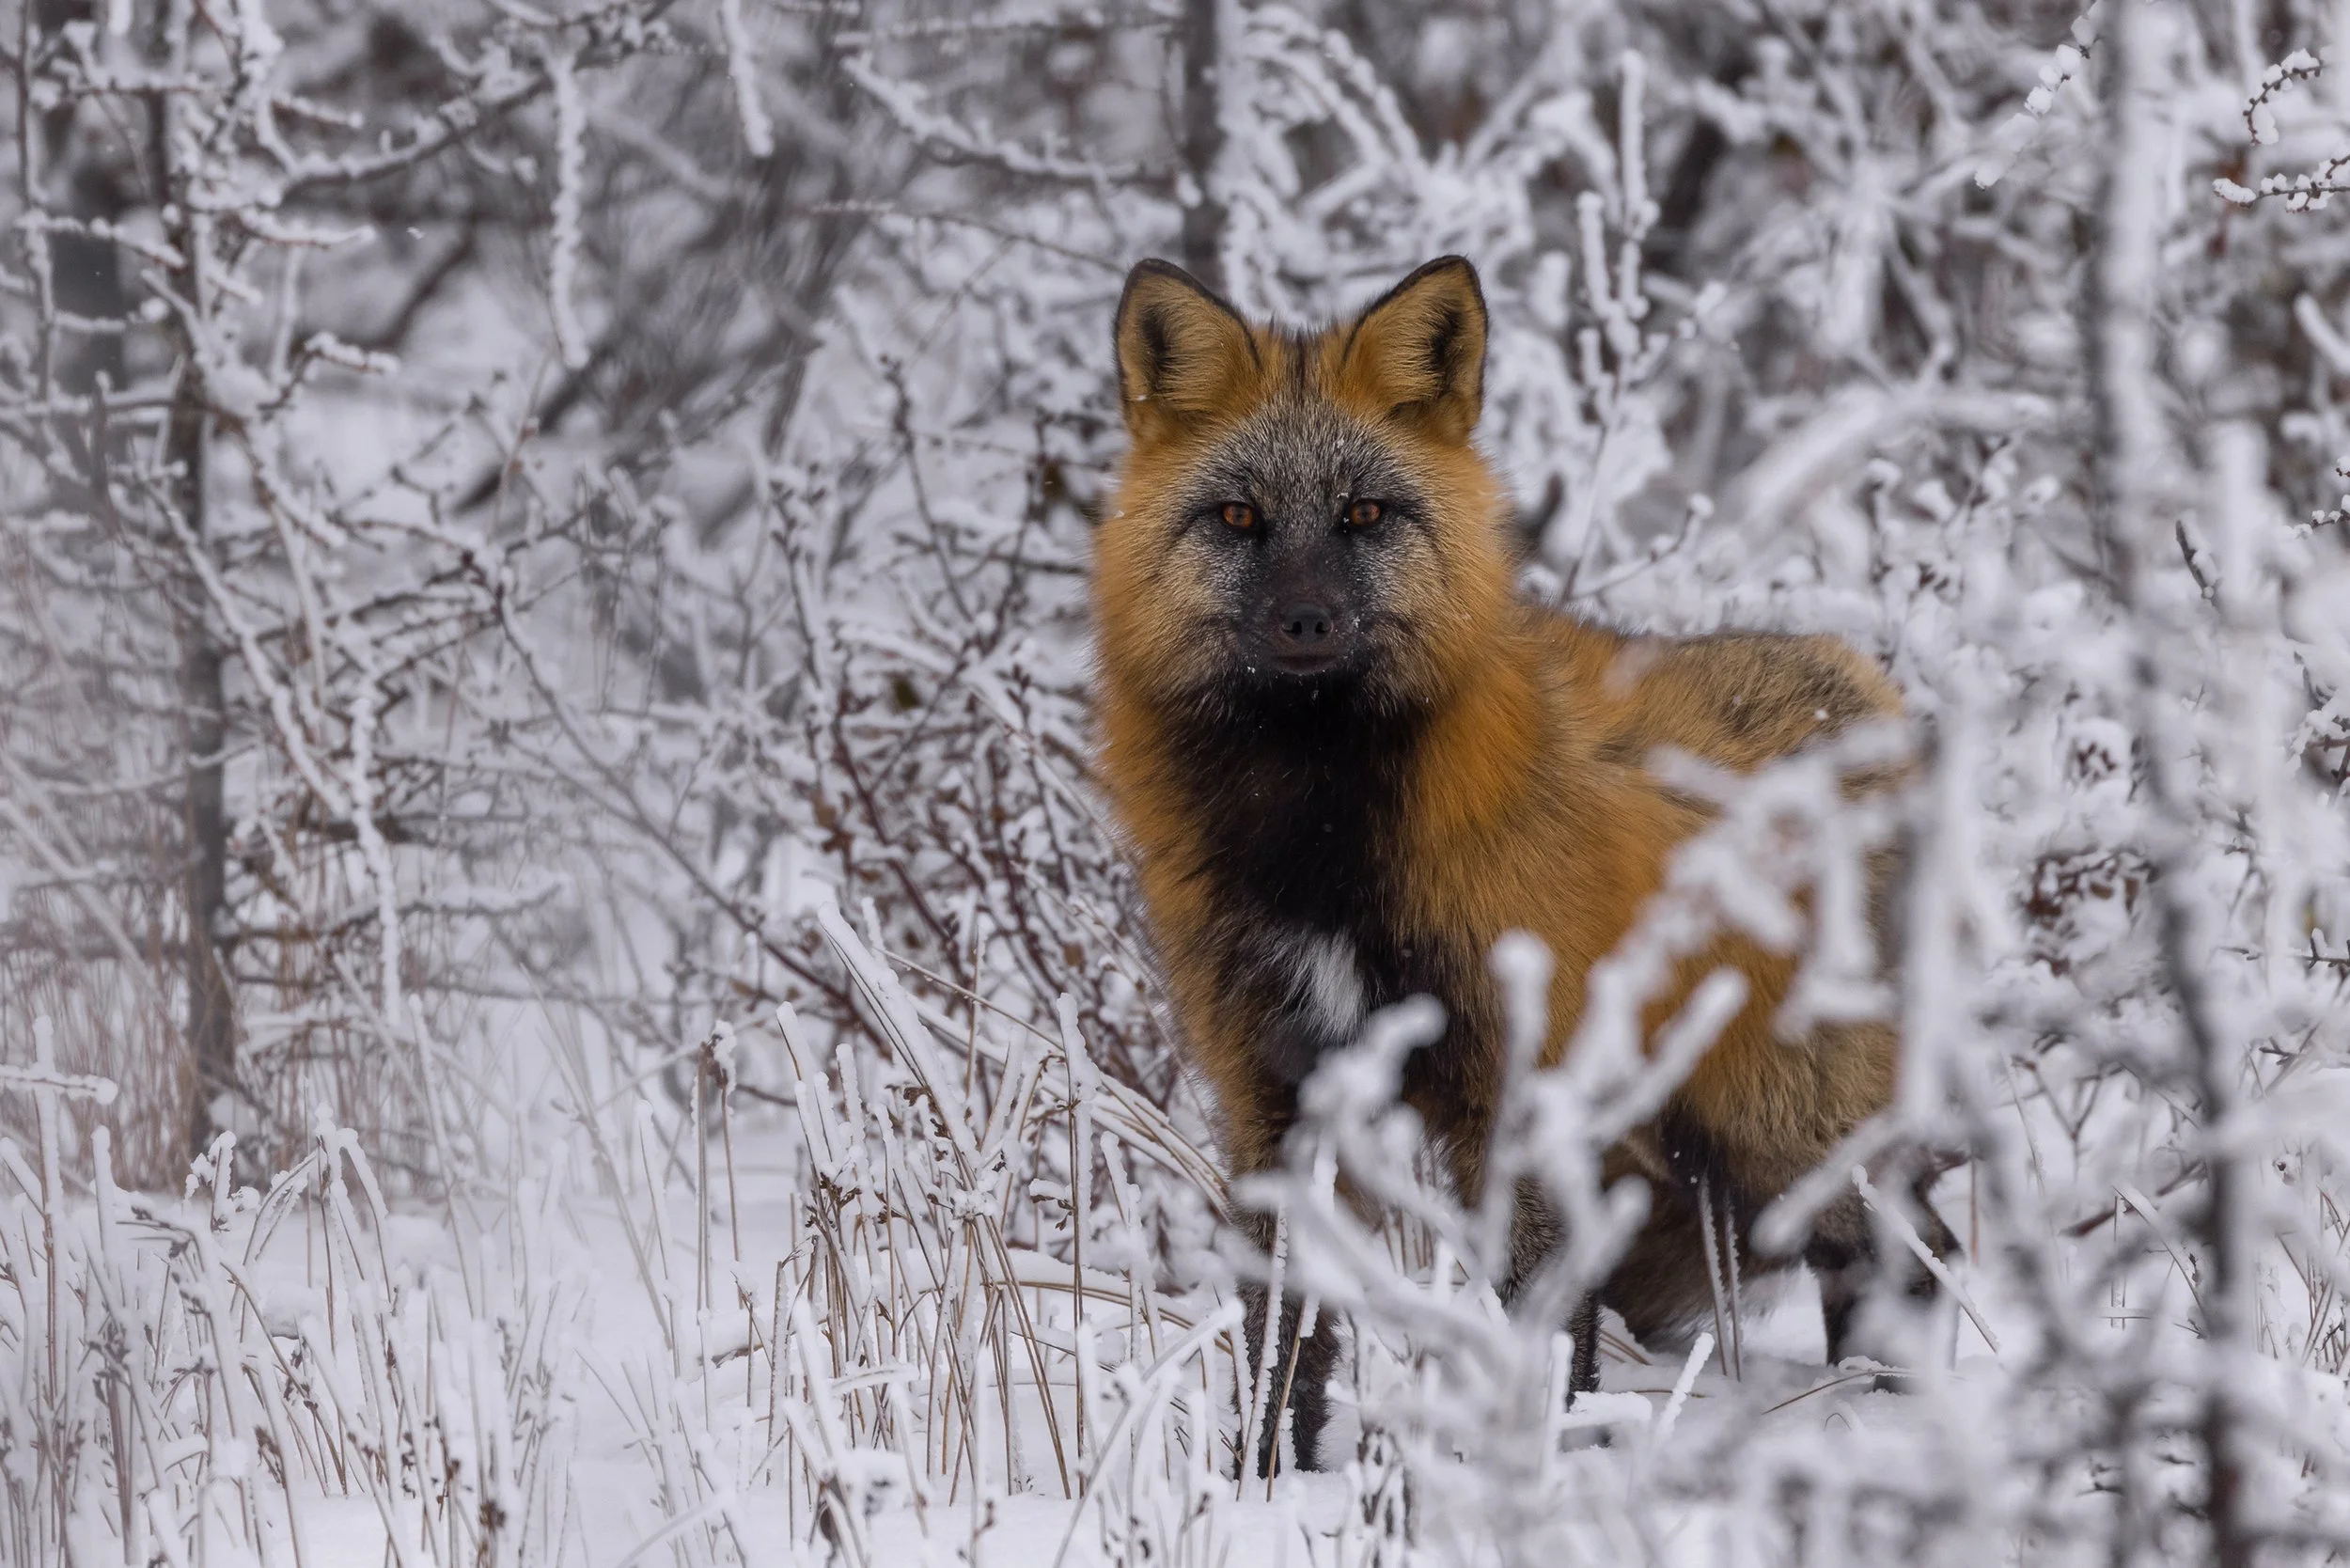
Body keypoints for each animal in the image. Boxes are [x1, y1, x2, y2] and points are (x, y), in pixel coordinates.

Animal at [1089, 254, 1954, 1474]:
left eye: (1363, 515)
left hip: (1789, 1139)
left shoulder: (1523, 1091)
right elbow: (1280, 1338)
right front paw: (1262, 1487)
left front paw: (1523, 1474)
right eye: (1237, 517)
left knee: (1914, 1253)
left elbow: (1539, 1336)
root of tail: (1865, 682)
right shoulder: (1274, 1090)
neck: (1325, 847)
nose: (1306, 622)